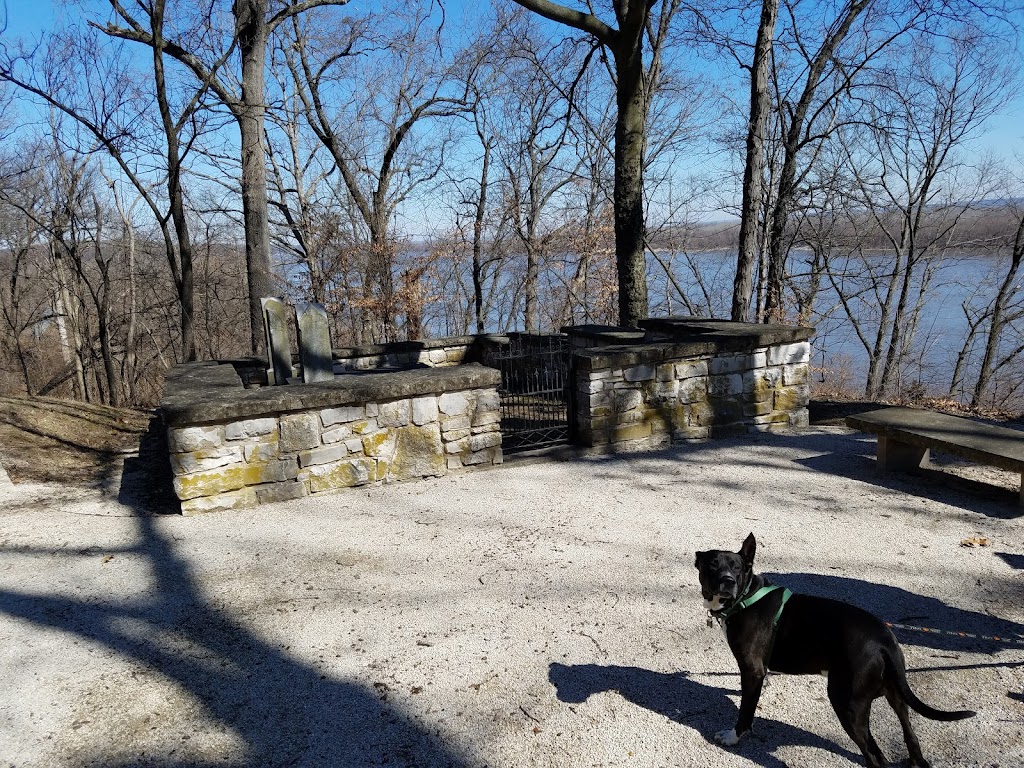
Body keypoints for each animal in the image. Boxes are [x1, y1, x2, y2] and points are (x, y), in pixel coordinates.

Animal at [692, 536, 970, 768]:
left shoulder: (751, 670)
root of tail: (884, 640)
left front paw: (733, 736)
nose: (728, 581)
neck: (745, 597)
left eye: (737, 568)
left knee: (875, 758)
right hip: (896, 696)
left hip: (847, 704)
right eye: (713, 565)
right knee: (909, 735)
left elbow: (746, 711)